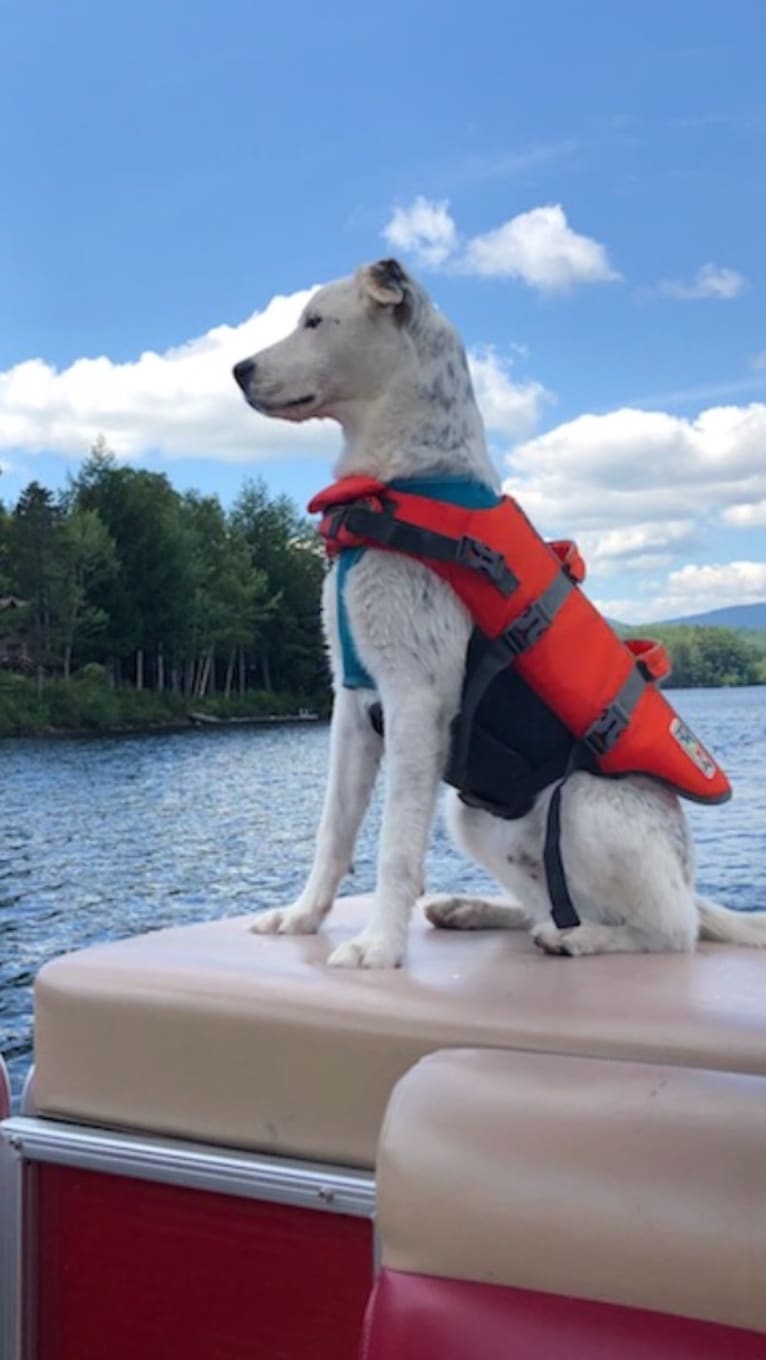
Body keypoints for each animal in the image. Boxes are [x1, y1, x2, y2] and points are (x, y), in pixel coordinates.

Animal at [234, 257, 766, 968]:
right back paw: (479, 910)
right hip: (478, 818)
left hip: (584, 807)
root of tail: (689, 883)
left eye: (315, 321)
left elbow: (396, 846)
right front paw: (302, 917)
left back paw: (581, 939)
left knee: (670, 931)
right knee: (551, 904)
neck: (401, 482)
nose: (237, 370)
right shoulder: (351, 702)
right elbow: (334, 832)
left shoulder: (416, 698)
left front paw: (378, 946)